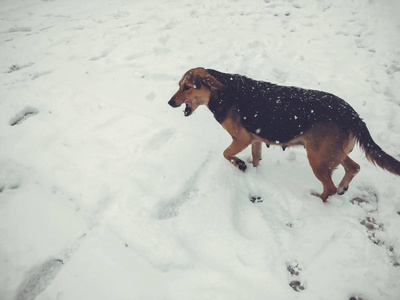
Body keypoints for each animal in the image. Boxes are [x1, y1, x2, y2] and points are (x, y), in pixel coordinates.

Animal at [168, 68, 400, 202]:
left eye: (187, 87)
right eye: (179, 85)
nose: (169, 102)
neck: (222, 92)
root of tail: (353, 115)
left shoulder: (241, 139)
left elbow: (226, 154)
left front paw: (240, 165)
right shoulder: (255, 139)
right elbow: (255, 158)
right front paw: (253, 170)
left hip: (317, 158)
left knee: (330, 188)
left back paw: (318, 200)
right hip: (331, 153)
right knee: (354, 167)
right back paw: (343, 187)